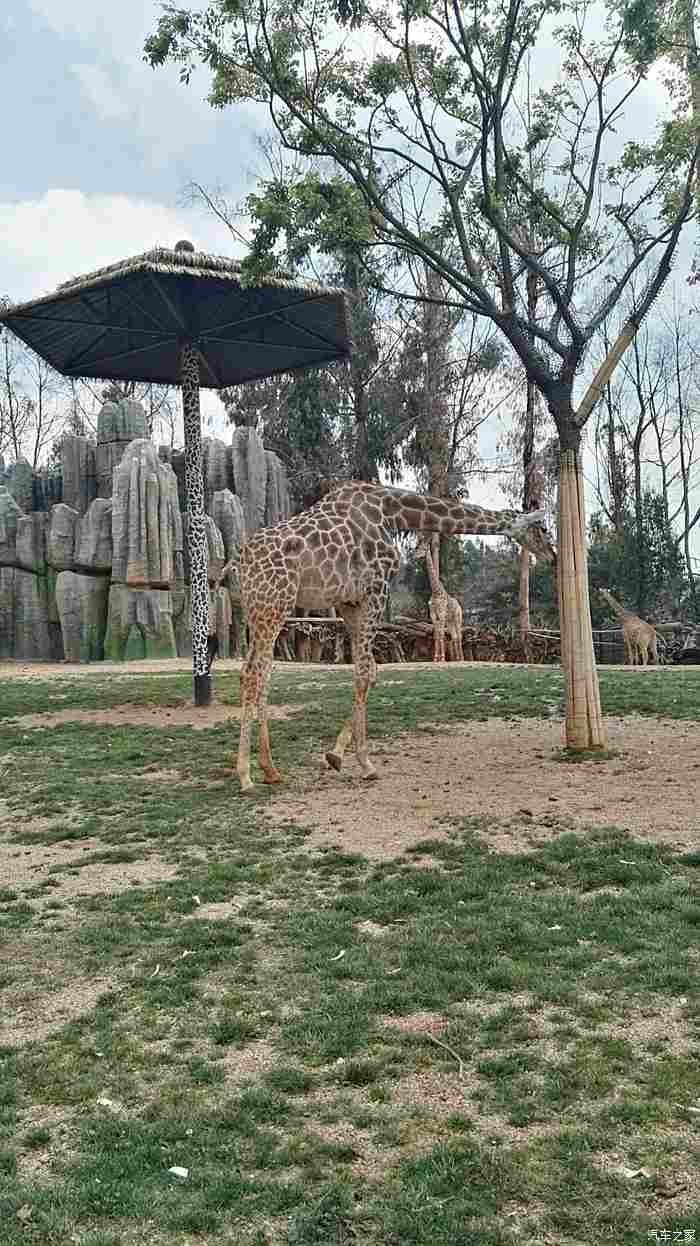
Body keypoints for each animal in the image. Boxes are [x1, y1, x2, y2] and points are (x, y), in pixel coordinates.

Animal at [413, 533, 463, 662]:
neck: (435, 591)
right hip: (450, 621)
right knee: (454, 636)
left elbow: (441, 635)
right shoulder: (433, 615)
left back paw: (461, 658)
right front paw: (436, 658)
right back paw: (456, 659)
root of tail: (459, 605)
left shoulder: (441, 614)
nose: (415, 556)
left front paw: (442, 658)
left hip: (457, 619)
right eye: (416, 547)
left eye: (423, 548)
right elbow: (436, 634)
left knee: (459, 635)